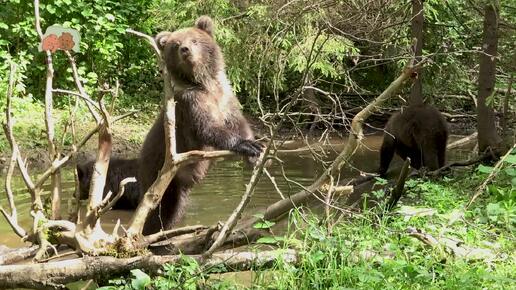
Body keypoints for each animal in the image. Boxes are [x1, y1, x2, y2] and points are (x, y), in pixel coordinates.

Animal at [139, 15, 262, 234]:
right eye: (176, 44)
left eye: (194, 40)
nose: (185, 49)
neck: (203, 83)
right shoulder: (191, 102)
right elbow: (208, 128)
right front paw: (246, 145)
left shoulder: (225, 96)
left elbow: (238, 121)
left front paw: (254, 150)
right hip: (161, 173)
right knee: (161, 209)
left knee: (177, 209)